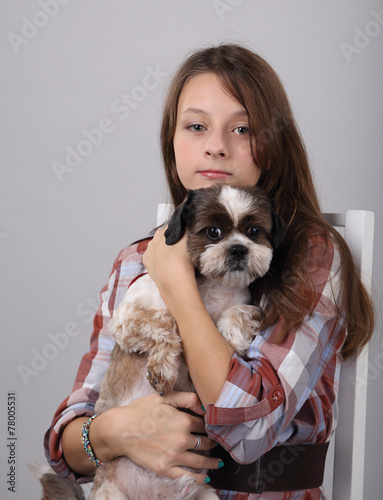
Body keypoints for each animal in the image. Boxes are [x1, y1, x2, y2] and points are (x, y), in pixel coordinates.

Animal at [36, 184, 286, 500]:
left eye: (254, 231)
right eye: (214, 232)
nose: (239, 248)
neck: (208, 287)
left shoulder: (231, 314)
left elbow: (234, 318)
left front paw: (234, 326)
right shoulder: (128, 318)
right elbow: (166, 321)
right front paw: (162, 369)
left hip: (206, 495)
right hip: (111, 494)